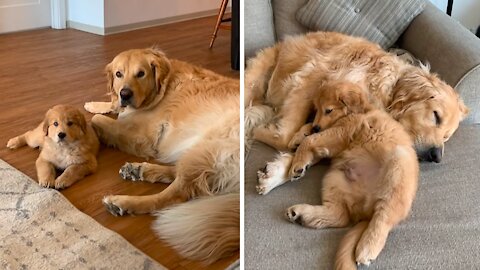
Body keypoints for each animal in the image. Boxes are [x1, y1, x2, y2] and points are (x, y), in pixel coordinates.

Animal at [84, 47, 240, 262]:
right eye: (118, 74)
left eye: (140, 74)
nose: (125, 94)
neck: (161, 90)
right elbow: (111, 107)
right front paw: (95, 104)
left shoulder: (143, 138)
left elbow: (98, 120)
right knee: (181, 175)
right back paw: (139, 170)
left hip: (209, 146)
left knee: (175, 194)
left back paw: (123, 202)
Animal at [246, 31, 466, 162]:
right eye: (436, 116)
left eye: (446, 137)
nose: (436, 155)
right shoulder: (311, 77)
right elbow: (284, 136)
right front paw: (264, 132)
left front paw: (303, 134)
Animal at [284, 81, 418, 268]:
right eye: (316, 109)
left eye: (329, 110)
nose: (316, 127)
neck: (358, 111)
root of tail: (366, 211)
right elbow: (309, 133)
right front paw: (298, 138)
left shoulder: (342, 131)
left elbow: (310, 140)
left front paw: (297, 164)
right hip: (334, 178)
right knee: (339, 216)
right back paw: (300, 214)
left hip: (398, 169)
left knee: (383, 218)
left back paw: (367, 248)